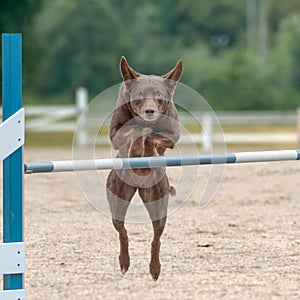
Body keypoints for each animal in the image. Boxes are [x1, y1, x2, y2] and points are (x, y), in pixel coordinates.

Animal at [107, 56, 183, 282]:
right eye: (139, 97)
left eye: (159, 97)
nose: (150, 111)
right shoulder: (114, 134)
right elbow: (136, 128)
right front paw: (136, 149)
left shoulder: (172, 136)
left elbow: (151, 134)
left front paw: (145, 150)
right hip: (117, 200)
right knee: (122, 231)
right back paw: (124, 262)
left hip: (158, 204)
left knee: (156, 238)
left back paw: (155, 269)